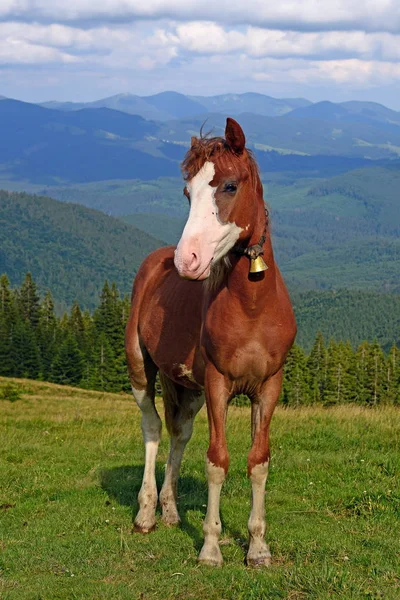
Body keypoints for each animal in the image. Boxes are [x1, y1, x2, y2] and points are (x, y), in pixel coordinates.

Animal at [126, 118, 296, 568]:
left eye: (230, 186)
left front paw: (258, 548)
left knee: (179, 433)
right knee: (153, 428)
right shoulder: (219, 385)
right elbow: (217, 461)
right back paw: (146, 512)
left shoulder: (268, 387)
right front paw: (210, 547)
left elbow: (258, 461)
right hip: (141, 370)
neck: (251, 308)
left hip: (188, 386)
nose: (188, 261)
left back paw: (169, 510)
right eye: (188, 193)